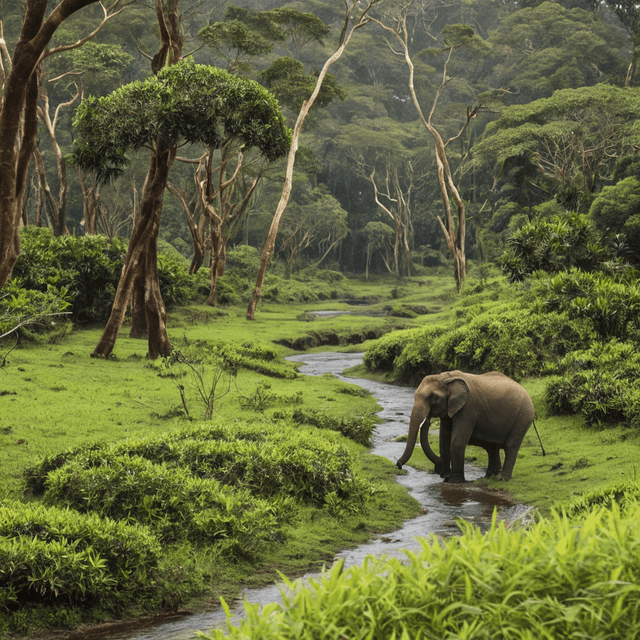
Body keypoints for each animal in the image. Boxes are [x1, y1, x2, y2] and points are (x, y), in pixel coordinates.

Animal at [396, 368, 536, 482]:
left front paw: (453, 481)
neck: (446, 377)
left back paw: (501, 479)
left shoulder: (468, 407)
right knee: (491, 446)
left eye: (434, 398)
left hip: (524, 415)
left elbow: (456, 441)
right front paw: (446, 478)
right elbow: (444, 439)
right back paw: (488, 477)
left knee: (510, 446)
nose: (398, 465)